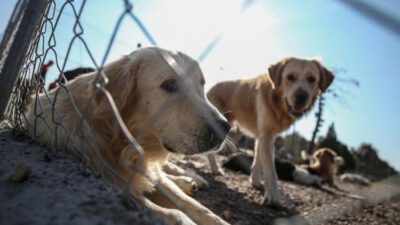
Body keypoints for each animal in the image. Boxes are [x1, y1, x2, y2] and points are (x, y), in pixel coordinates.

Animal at [25, 46, 231, 224]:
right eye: (170, 85)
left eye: (202, 84)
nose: (225, 128)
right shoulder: (119, 187)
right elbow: (175, 214)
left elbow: (196, 207)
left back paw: (191, 179)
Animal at [206, 56, 334, 206]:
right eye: (290, 77)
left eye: (312, 79)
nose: (302, 97)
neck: (277, 102)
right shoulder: (266, 137)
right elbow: (270, 170)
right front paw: (273, 197)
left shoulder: (263, 136)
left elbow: (258, 162)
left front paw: (255, 182)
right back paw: (215, 169)